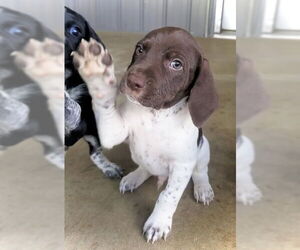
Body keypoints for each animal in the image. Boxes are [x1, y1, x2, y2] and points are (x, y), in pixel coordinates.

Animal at [72, 26, 218, 242]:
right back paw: (134, 177)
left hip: (203, 148)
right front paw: (94, 68)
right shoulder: (113, 132)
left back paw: (203, 188)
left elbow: (168, 196)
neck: (156, 116)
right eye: (140, 49)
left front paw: (158, 222)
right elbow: (103, 102)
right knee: (146, 168)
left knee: (200, 171)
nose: (132, 81)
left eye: (176, 64)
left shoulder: (182, 165)